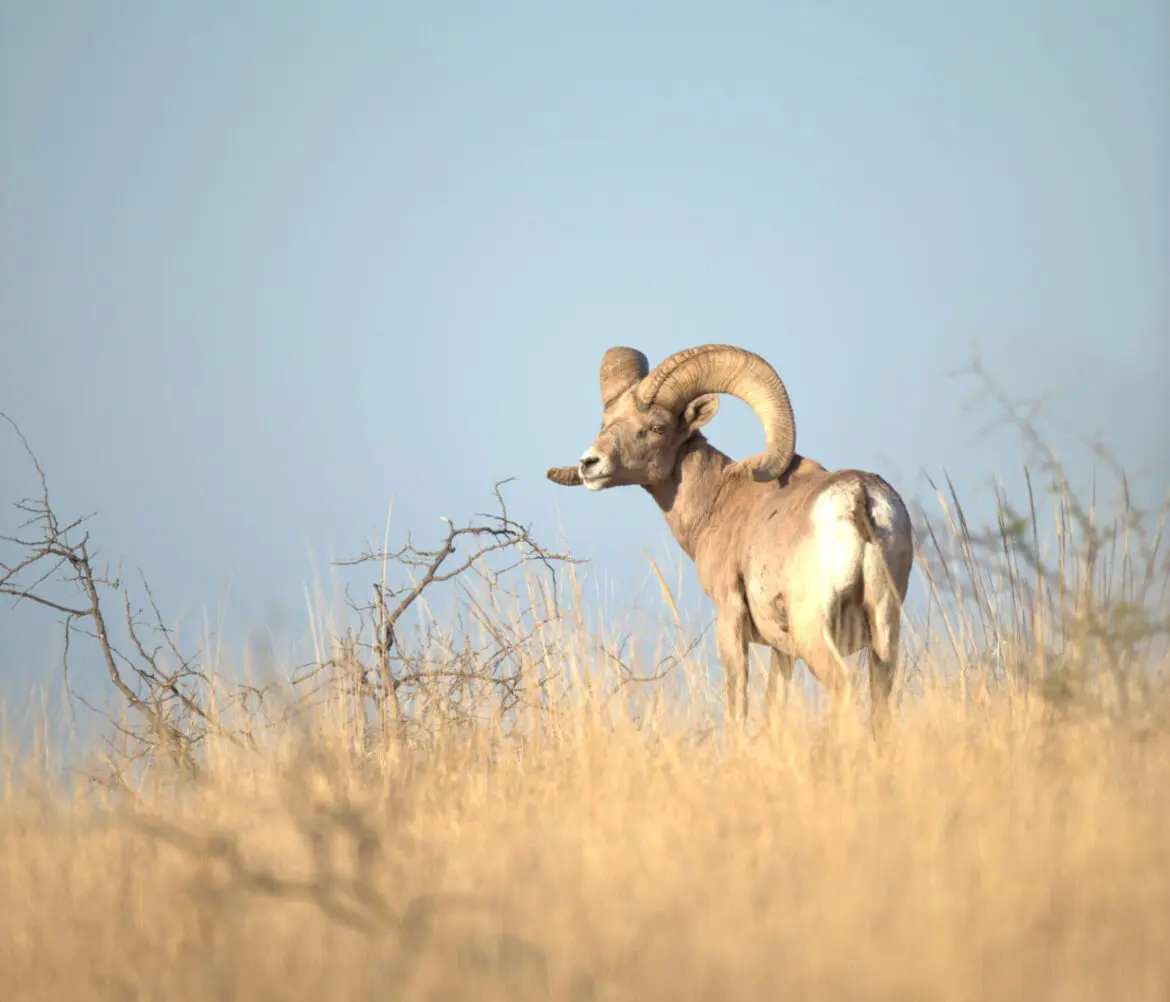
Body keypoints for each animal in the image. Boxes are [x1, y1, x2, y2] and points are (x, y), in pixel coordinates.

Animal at [546, 344, 914, 734]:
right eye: (606, 423)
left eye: (657, 427)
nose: (590, 463)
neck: (718, 501)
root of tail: (859, 497)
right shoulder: (781, 650)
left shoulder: (730, 618)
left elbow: (738, 703)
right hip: (883, 627)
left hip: (813, 627)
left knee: (842, 684)